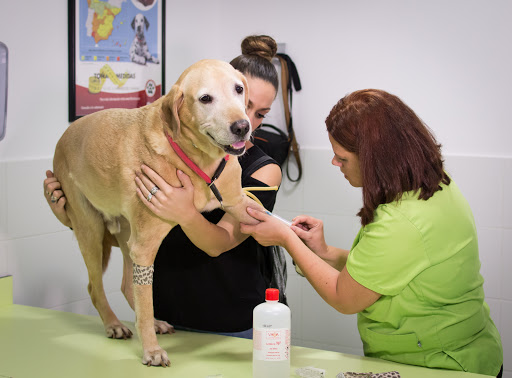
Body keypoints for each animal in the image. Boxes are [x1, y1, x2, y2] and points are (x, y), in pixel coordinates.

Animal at [53, 59, 260, 366]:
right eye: (205, 98)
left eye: (238, 89)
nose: (242, 126)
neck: (198, 159)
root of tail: (65, 134)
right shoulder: (145, 245)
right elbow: (145, 302)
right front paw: (150, 349)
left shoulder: (237, 202)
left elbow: (266, 217)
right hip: (92, 231)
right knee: (97, 288)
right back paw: (115, 324)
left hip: (128, 235)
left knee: (127, 286)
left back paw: (155, 323)